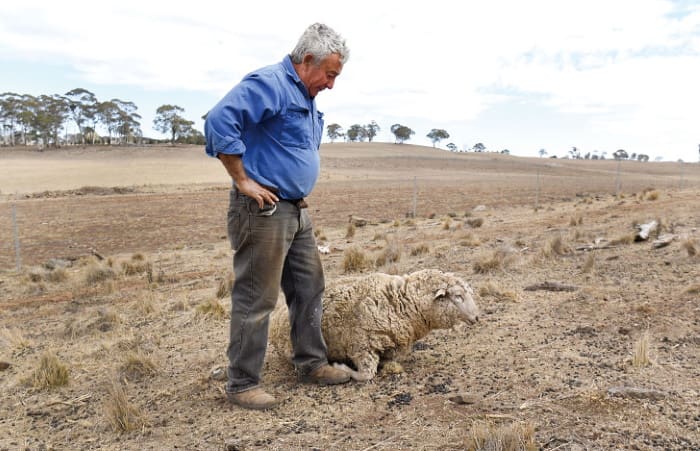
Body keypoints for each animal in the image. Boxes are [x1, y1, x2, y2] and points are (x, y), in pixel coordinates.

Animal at [270, 270, 482, 384]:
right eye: (458, 296)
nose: (477, 317)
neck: (400, 301)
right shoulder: (361, 346)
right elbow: (365, 375)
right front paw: (341, 368)